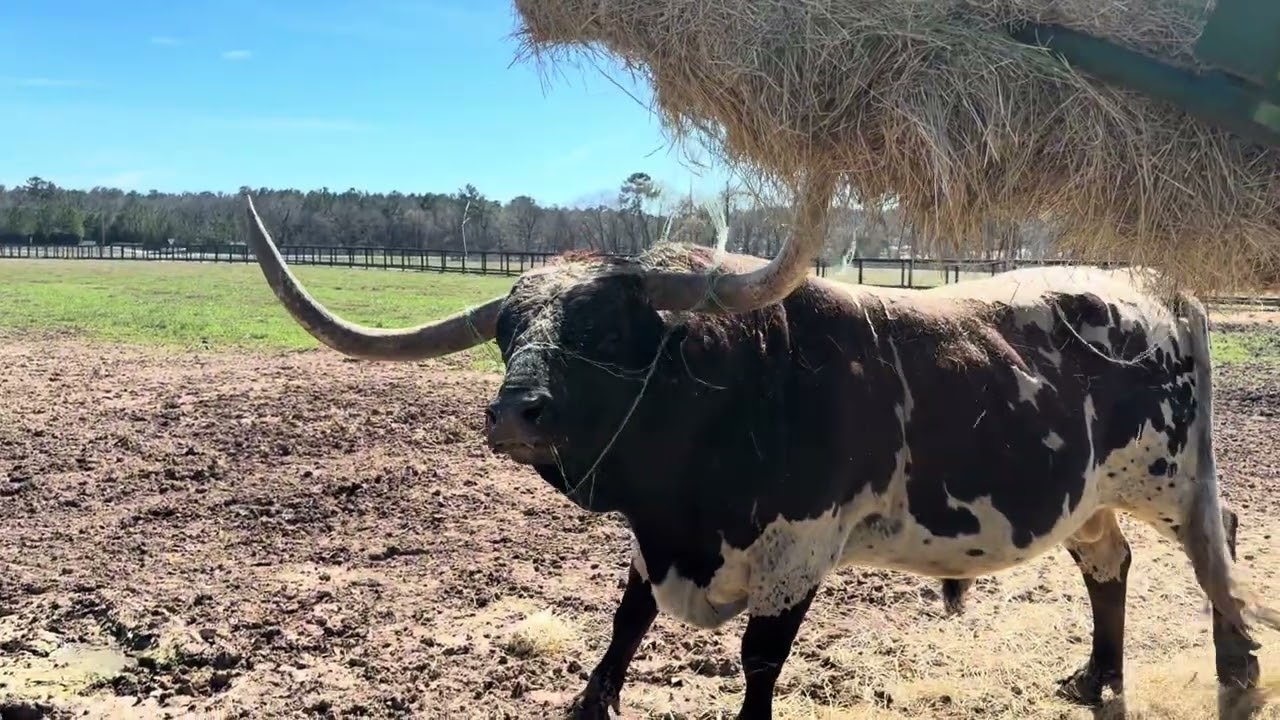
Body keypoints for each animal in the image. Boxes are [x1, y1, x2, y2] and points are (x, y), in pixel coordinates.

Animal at [241, 195, 1278, 719]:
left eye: (606, 330)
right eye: (505, 332)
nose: (514, 412)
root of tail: (1157, 284)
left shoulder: (798, 551)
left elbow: (760, 661)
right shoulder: (653, 541)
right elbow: (624, 626)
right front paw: (590, 705)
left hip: (1176, 474)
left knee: (1214, 545)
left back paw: (1236, 668)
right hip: (1086, 496)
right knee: (1110, 564)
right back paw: (1097, 678)